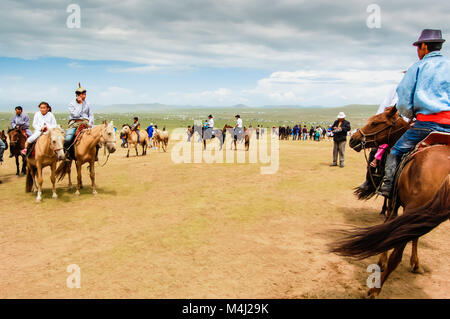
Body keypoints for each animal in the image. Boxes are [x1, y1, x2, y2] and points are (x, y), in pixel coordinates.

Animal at [330, 108, 450, 300]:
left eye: (375, 122)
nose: (354, 139)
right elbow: (412, 236)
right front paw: (415, 263)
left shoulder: (395, 202)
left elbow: (389, 225)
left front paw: (382, 259)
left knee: (397, 256)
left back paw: (374, 290)